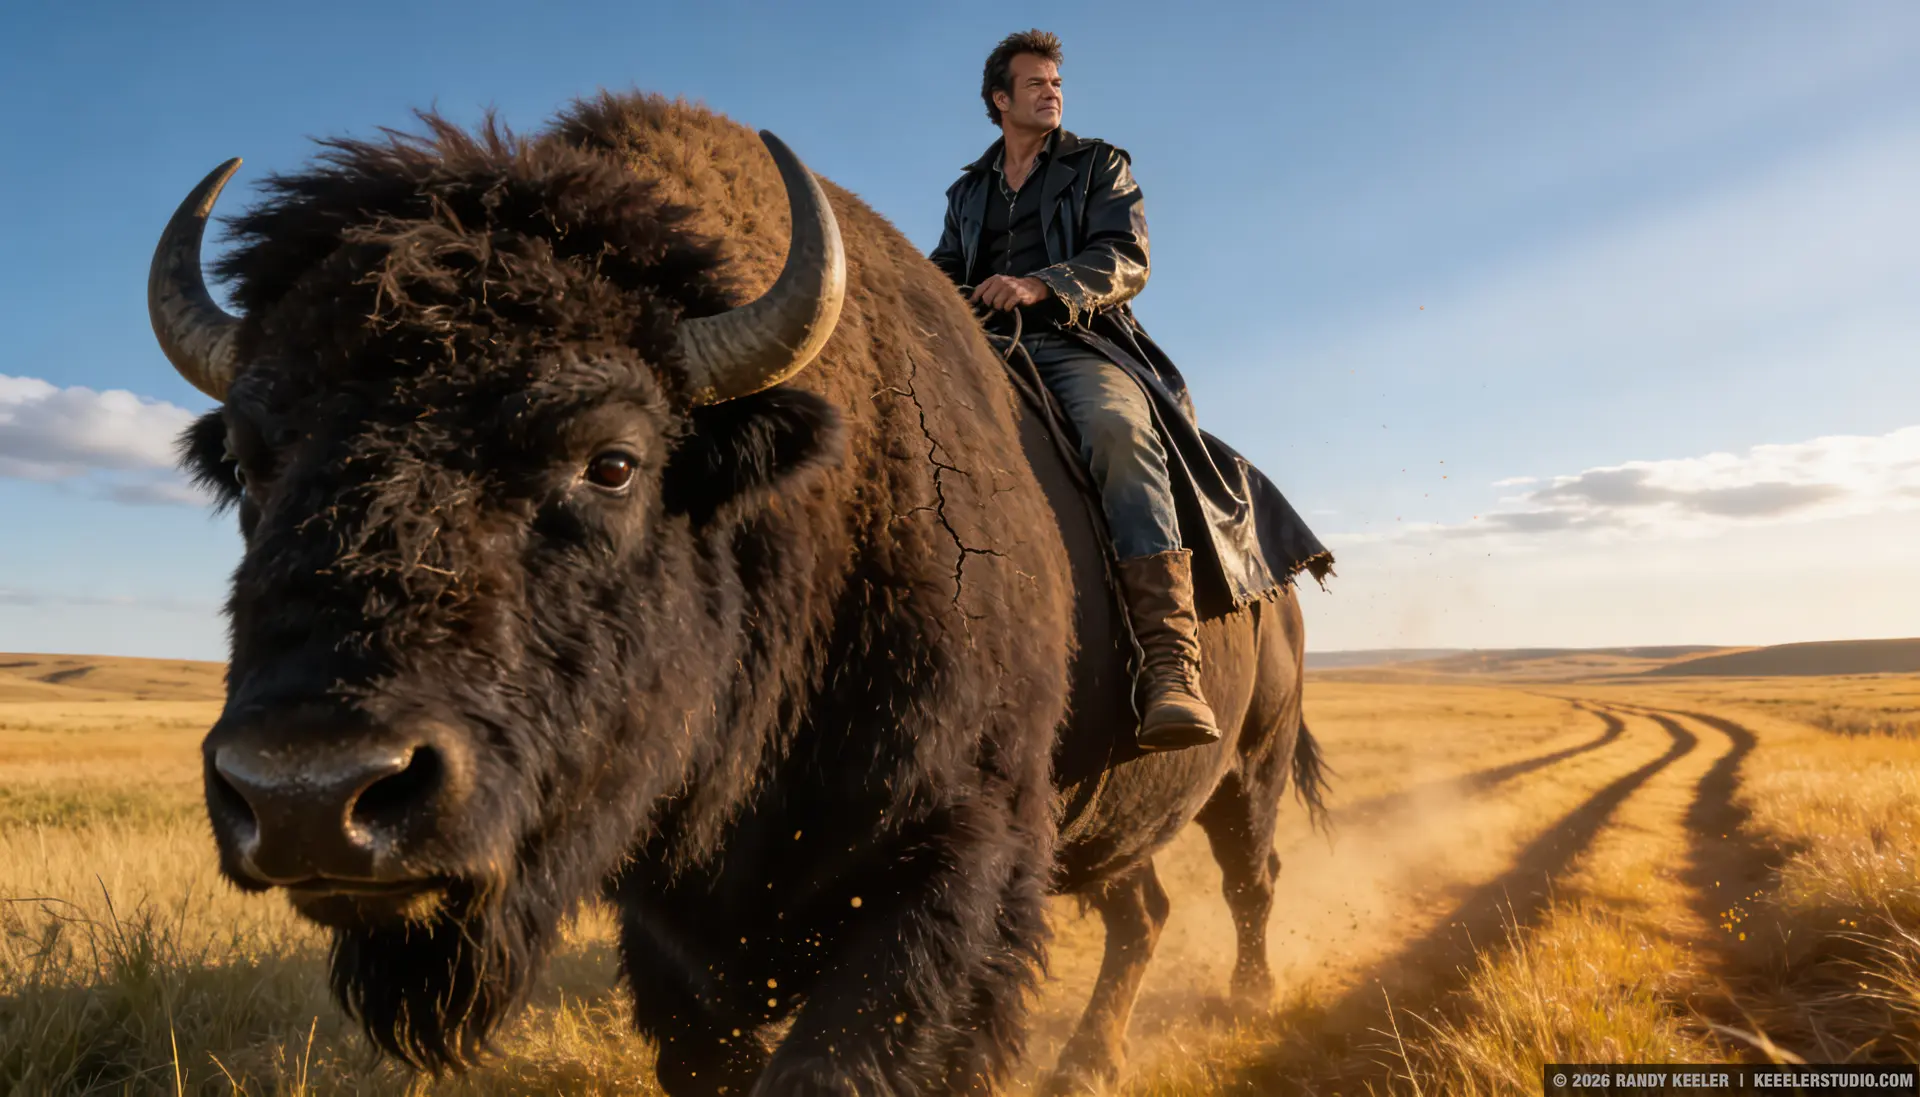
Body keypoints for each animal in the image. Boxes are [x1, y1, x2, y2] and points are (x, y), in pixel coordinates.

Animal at [147, 93, 1327, 1095]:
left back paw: (1247, 1001)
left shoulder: (957, 859)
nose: (309, 796)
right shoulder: (672, 921)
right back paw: (1087, 1059)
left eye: (613, 460)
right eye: (247, 461)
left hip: (1248, 764)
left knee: (1250, 876)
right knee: (1144, 905)